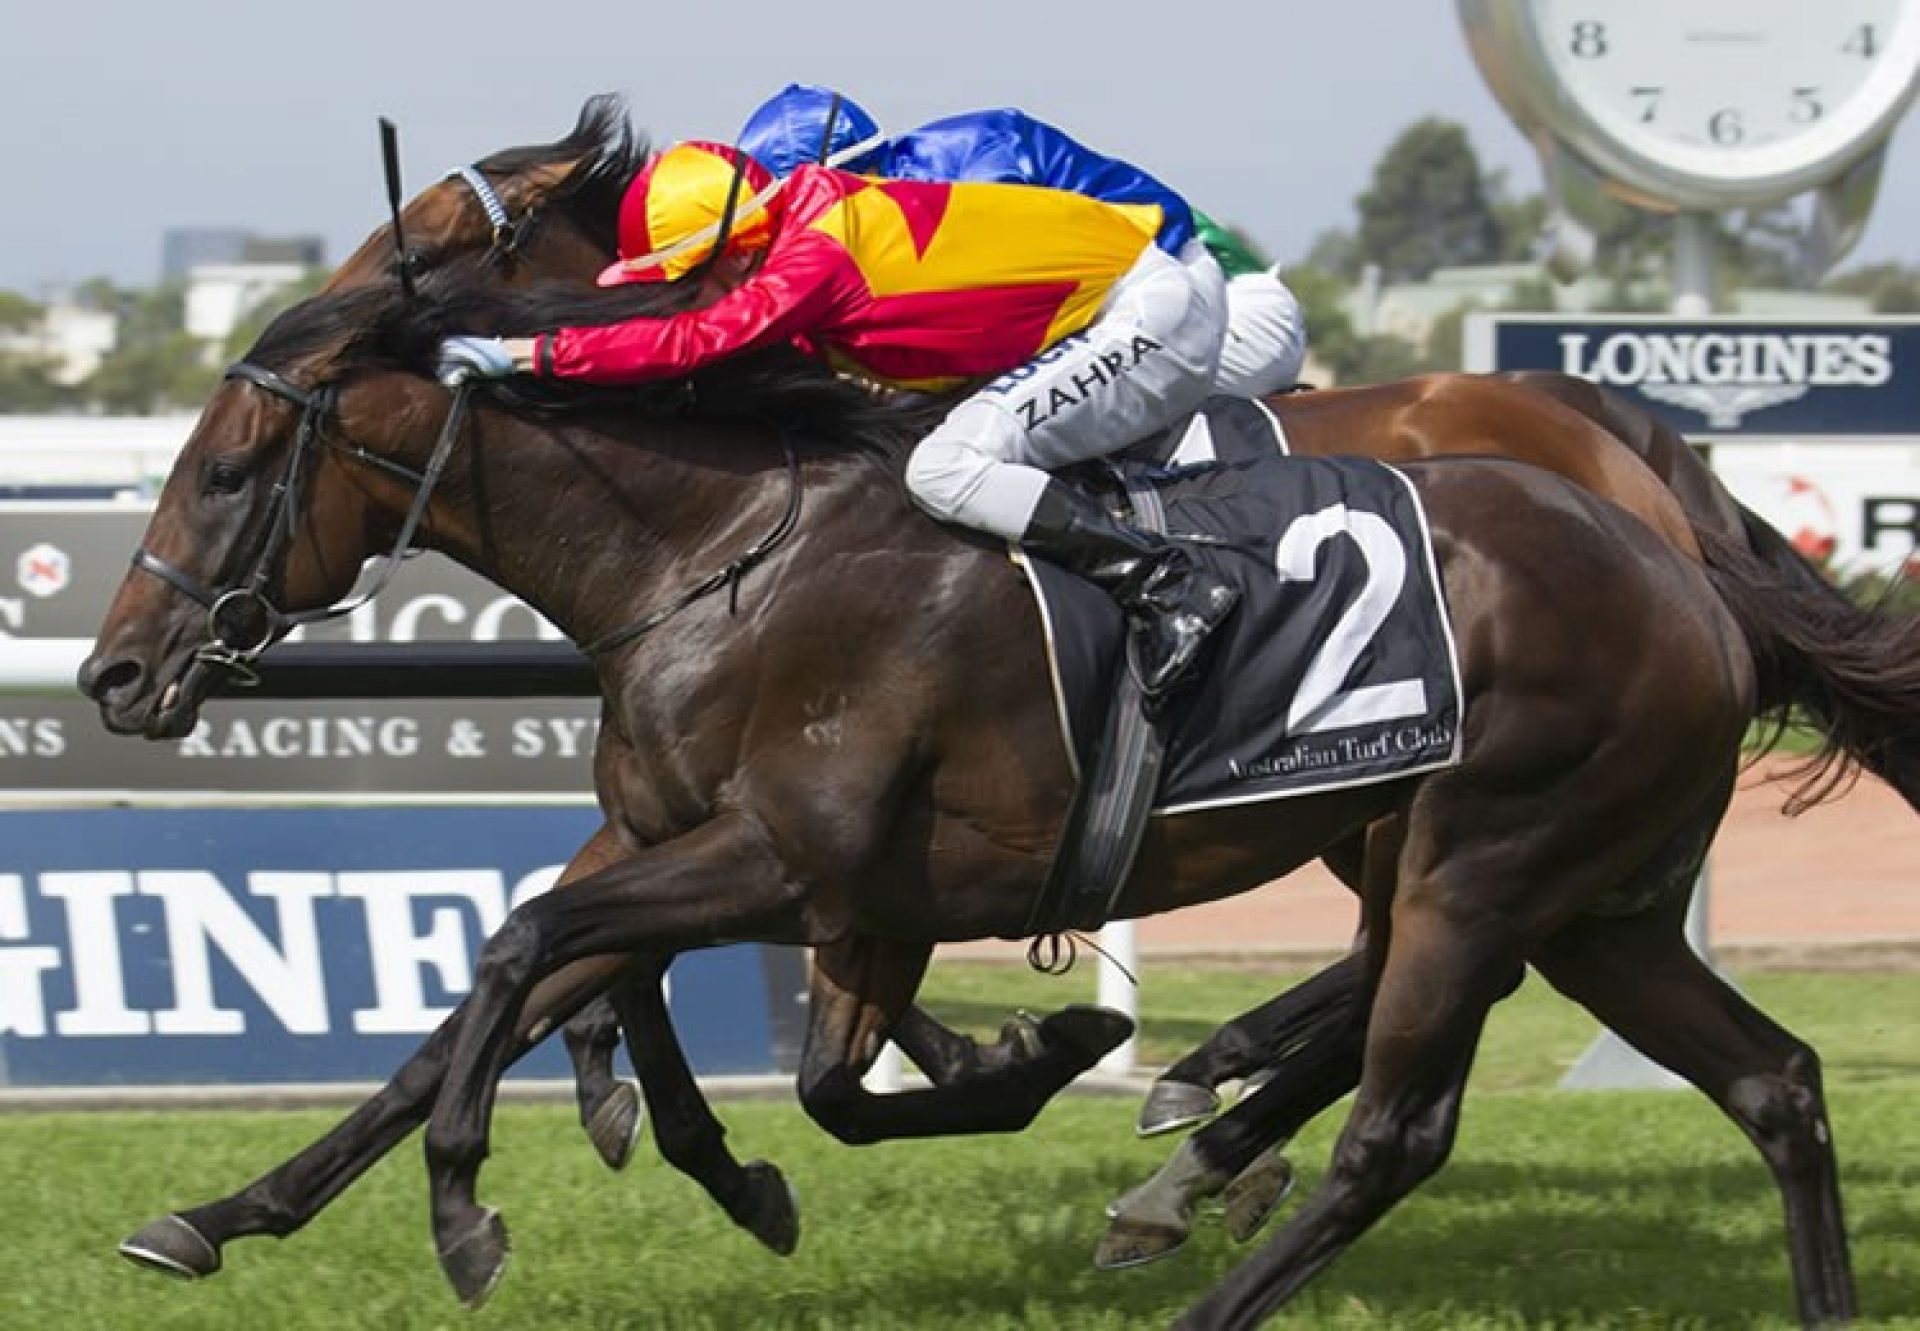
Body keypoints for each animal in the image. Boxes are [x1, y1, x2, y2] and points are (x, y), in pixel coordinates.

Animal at [78, 215, 1889, 1321]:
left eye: (227, 469)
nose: (114, 673)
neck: (721, 552)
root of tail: (1676, 548)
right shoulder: (770, 869)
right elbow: (571, 1000)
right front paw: (229, 1210)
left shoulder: (788, 857)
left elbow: (537, 953)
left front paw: (471, 1201)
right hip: (1592, 899)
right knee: (1774, 1083)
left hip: (1480, 858)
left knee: (1400, 1120)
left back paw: (1206, 1160)